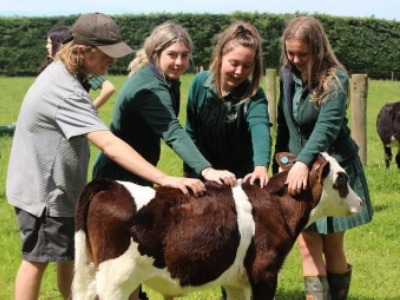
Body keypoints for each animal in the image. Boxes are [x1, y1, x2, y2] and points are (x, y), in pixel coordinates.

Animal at [72, 152, 362, 300]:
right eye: (342, 178)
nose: (359, 201)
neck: (275, 205)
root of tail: (110, 185)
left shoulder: (237, 281)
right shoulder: (264, 271)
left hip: (89, 274)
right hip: (116, 280)